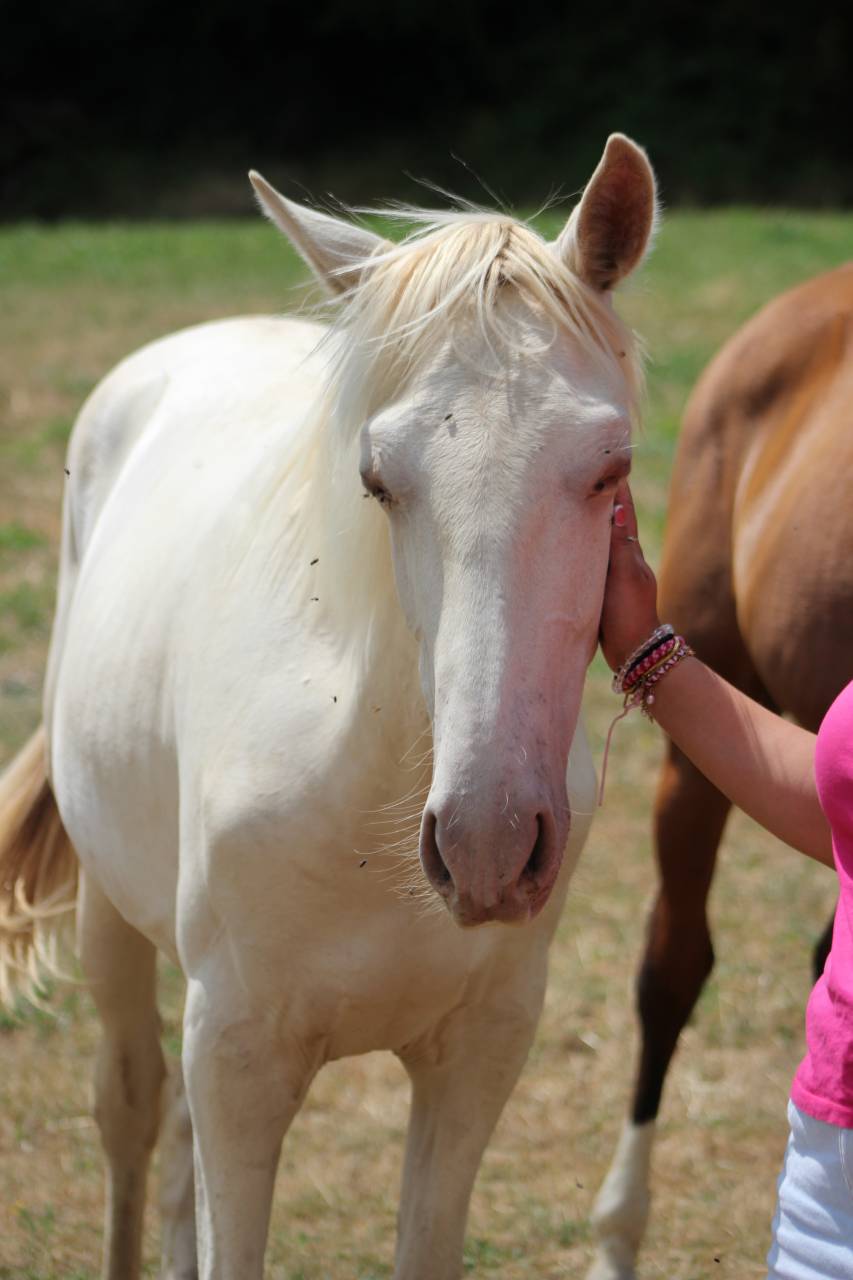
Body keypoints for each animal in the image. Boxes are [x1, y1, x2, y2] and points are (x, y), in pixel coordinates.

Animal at [0, 133, 657, 1280]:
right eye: (377, 477)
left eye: (608, 468)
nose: (486, 843)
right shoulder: (237, 1059)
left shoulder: (476, 1056)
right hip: (109, 923)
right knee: (130, 1114)